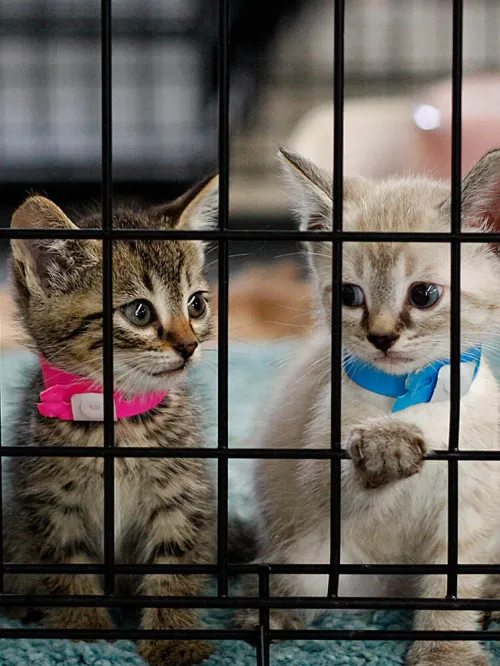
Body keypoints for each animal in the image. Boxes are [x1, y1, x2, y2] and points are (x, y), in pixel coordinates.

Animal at [4, 176, 219, 664]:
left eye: (196, 305)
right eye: (139, 312)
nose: (189, 346)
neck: (118, 418)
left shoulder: (180, 495)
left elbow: (174, 563)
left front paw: (174, 637)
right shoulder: (52, 502)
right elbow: (69, 563)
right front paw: (84, 627)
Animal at [236, 147, 500, 664]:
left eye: (424, 294)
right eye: (349, 295)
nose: (380, 337)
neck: (414, 392)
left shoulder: (471, 509)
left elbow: (452, 590)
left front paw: (445, 652)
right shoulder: (319, 464)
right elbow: (340, 481)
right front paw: (385, 445)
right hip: (311, 557)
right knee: (284, 581)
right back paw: (263, 619)